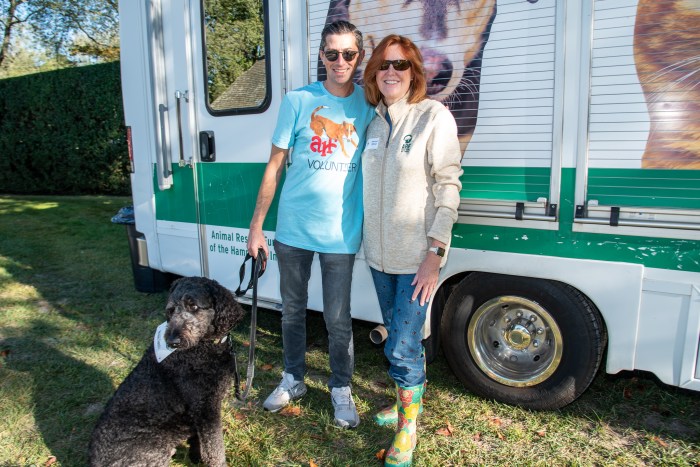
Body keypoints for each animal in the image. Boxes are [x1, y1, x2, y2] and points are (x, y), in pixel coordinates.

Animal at [89, 278, 246, 467]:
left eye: (193, 306)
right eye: (170, 310)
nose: (172, 341)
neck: (203, 347)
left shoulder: (199, 410)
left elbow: (200, 440)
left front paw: (195, 457)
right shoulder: (205, 407)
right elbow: (214, 449)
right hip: (154, 452)